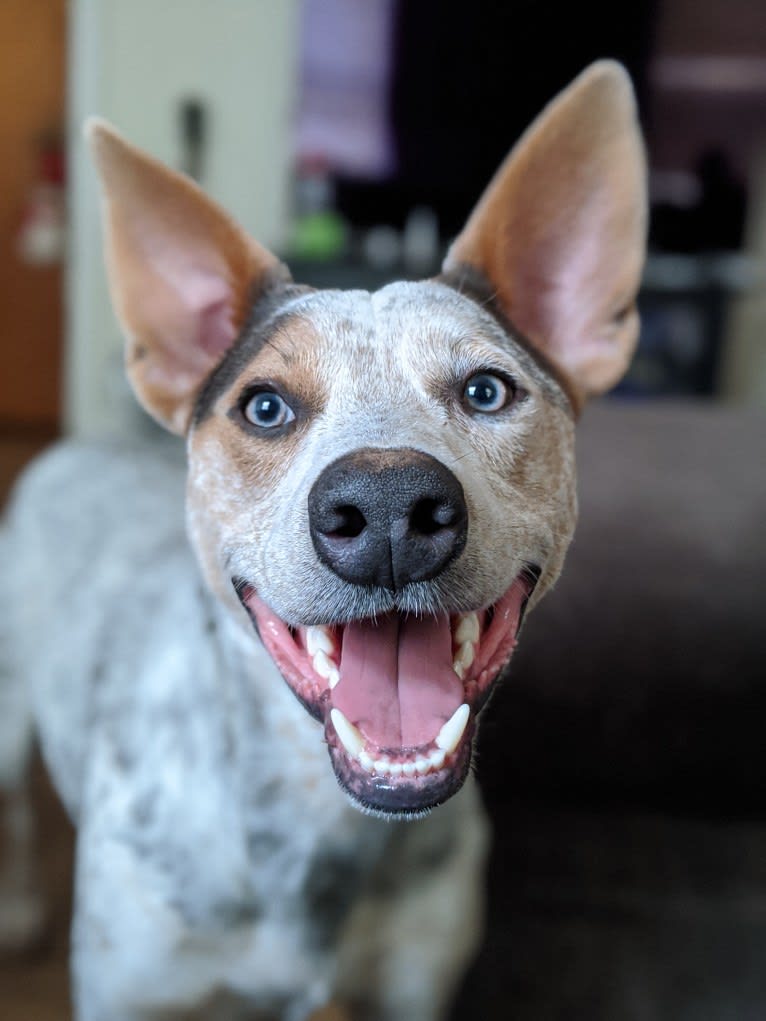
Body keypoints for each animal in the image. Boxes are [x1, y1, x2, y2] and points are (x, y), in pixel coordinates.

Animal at [0, 59, 649, 1016]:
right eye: (264, 407)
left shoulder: (414, 980)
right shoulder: (137, 986)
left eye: (487, 390)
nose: (386, 507)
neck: (319, 810)